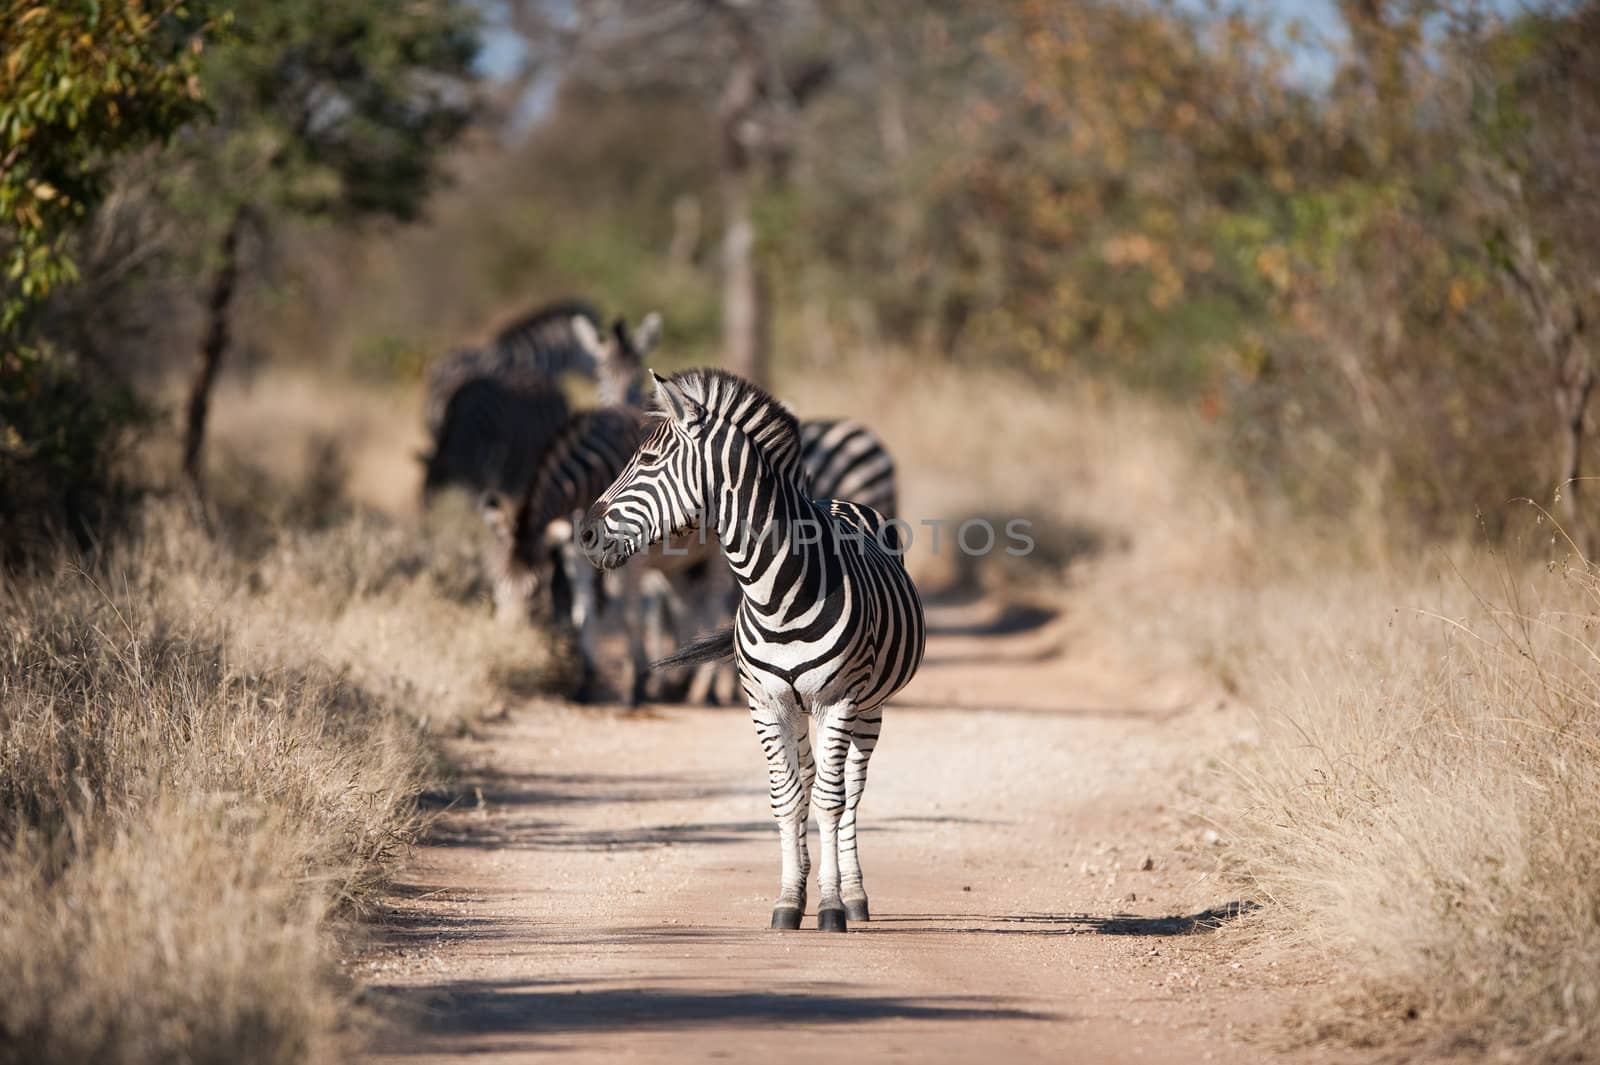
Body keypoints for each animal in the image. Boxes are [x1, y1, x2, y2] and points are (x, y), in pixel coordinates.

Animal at [579, 367, 928, 927]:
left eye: (648, 462)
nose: (585, 535)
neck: (775, 593)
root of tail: (839, 498)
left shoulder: (839, 700)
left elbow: (830, 801)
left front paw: (830, 906)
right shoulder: (765, 703)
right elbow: (787, 799)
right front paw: (789, 900)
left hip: (869, 705)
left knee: (851, 791)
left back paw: (854, 896)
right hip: (799, 708)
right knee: (809, 778)